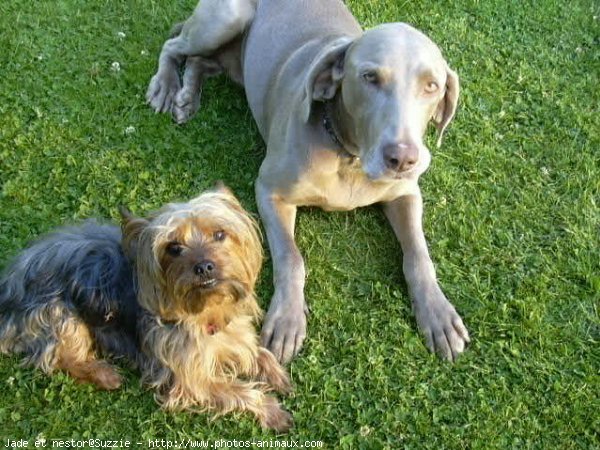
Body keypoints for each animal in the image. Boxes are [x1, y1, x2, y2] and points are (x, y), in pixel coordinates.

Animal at [0, 185, 292, 430]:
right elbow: (238, 391)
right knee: (64, 358)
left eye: (220, 234)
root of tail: (8, 285)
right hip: (59, 315)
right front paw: (272, 411)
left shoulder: (236, 333)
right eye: (173, 248)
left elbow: (258, 351)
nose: (204, 266)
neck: (206, 311)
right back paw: (104, 374)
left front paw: (276, 375)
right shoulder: (189, 379)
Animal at [146, 0, 468, 362]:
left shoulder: (406, 194)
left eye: (432, 86)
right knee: (175, 46)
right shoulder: (270, 191)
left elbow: (418, 254)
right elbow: (291, 258)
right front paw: (287, 318)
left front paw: (437, 311)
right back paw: (167, 86)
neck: (349, 156)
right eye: (370, 77)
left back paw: (187, 96)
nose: (402, 159)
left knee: (200, 61)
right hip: (227, 18)